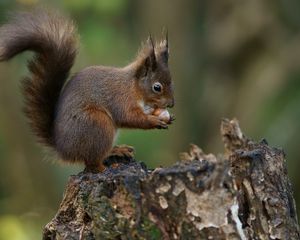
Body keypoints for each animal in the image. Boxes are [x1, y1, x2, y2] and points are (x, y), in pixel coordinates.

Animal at [0, 9, 175, 172]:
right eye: (157, 87)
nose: (171, 104)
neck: (134, 87)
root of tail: (64, 150)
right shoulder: (121, 99)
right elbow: (129, 117)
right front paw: (153, 121)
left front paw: (167, 117)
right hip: (98, 124)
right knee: (91, 163)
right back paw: (105, 168)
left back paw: (116, 150)